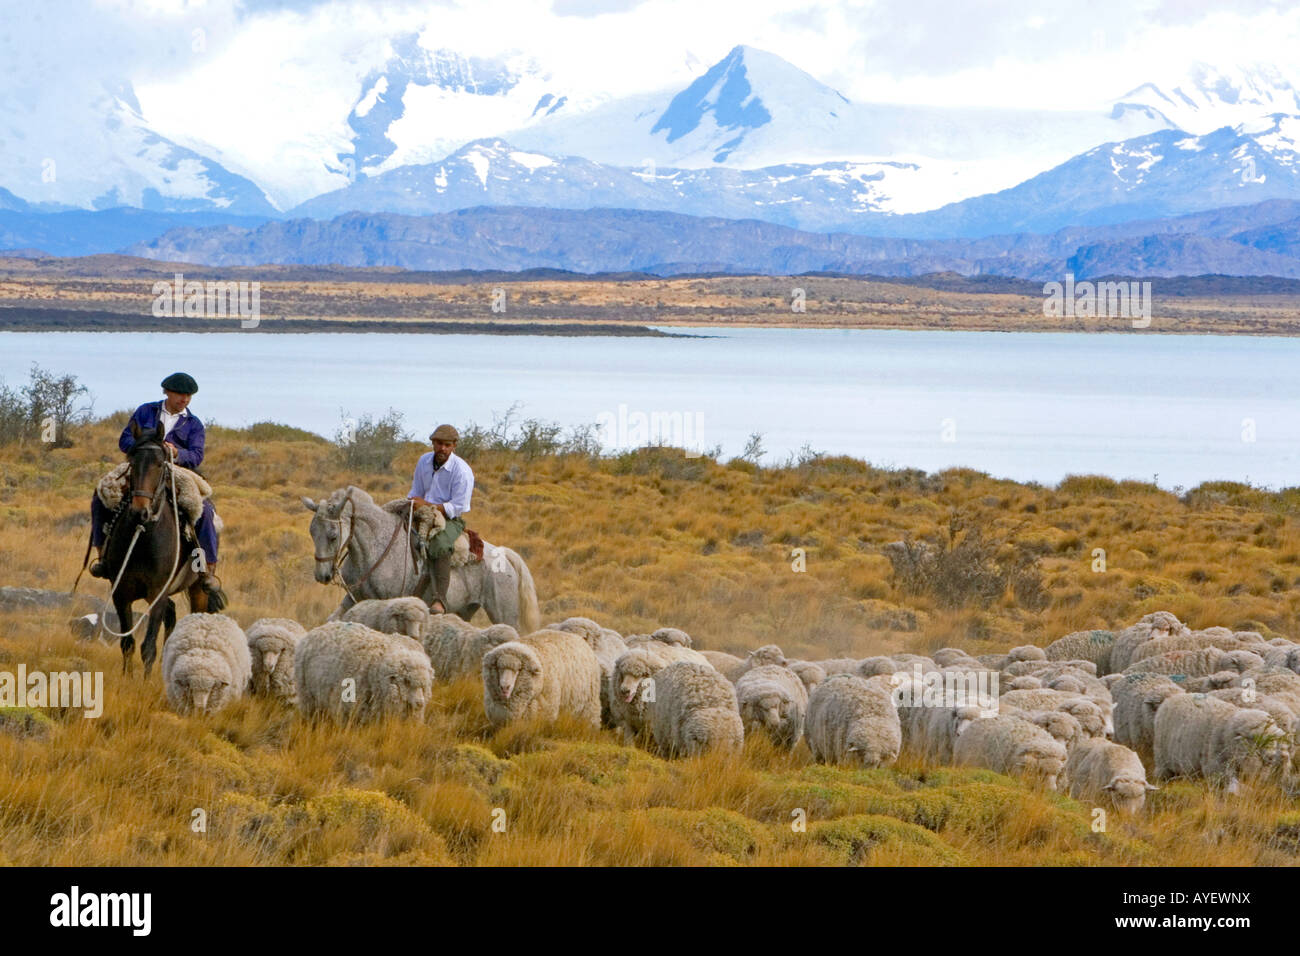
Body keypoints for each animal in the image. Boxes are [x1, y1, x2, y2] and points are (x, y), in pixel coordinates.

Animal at [1153, 693, 1291, 788]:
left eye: (1273, 740)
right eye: (1255, 739)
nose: (1271, 757)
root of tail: (1171, 698)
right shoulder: (1217, 769)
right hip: (1162, 761)